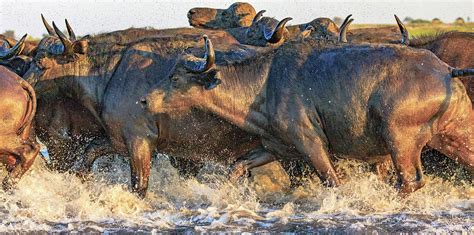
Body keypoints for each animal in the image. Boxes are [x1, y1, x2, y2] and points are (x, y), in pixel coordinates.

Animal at [144, 36, 474, 195]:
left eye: (175, 78)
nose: (144, 99)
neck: (264, 85)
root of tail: (445, 70)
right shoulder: (275, 147)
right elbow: (236, 167)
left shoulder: (312, 145)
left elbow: (333, 182)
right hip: (457, 135)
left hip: (399, 141)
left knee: (410, 182)